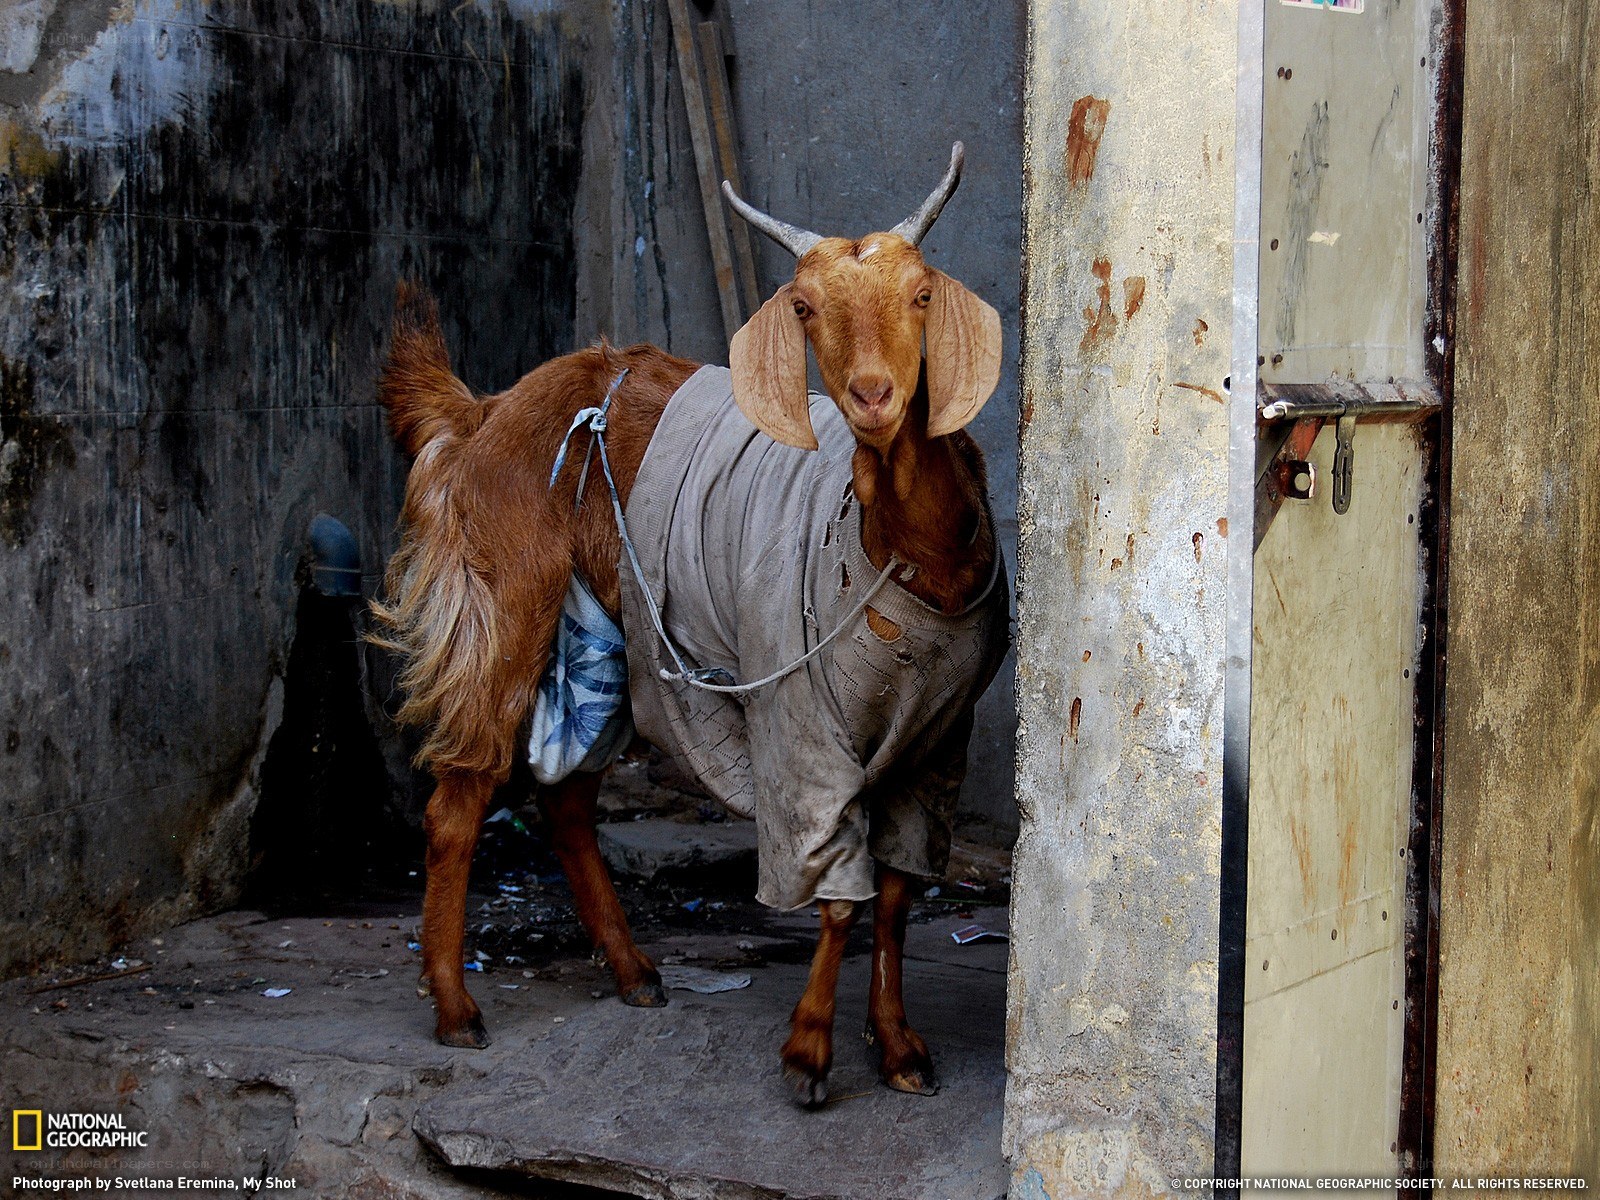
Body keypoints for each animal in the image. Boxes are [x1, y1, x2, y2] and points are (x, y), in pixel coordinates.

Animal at [372, 144, 1007, 1105]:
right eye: (803, 306)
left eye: (923, 292)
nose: (873, 396)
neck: (900, 553)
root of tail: (484, 414)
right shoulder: (801, 724)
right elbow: (835, 889)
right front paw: (808, 1054)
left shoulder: (940, 737)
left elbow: (897, 894)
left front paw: (899, 1048)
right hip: (508, 599)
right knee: (460, 799)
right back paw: (454, 1008)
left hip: (613, 630)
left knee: (566, 800)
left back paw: (633, 971)